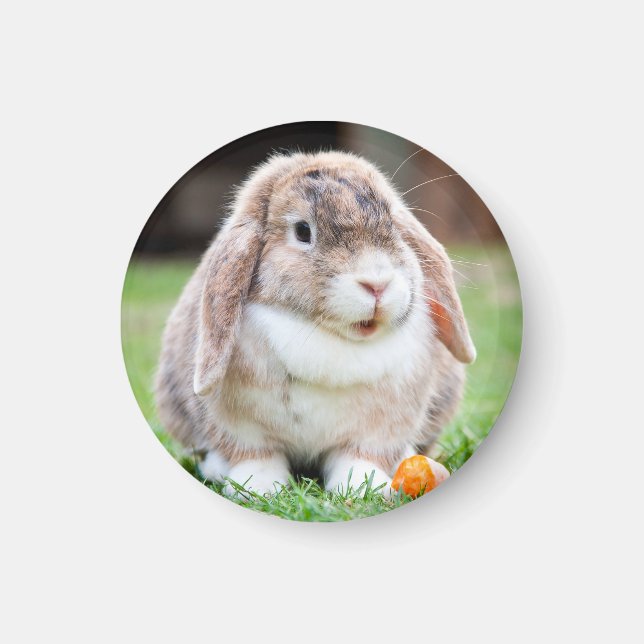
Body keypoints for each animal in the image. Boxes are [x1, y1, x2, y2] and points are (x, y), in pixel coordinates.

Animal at [155, 150, 476, 498]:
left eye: (392, 223)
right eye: (302, 231)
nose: (377, 284)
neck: (328, 336)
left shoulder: (379, 429)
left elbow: (359, 457)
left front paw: (363, 488)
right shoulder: (241, 428)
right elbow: (256, 456)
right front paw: (258, 488)